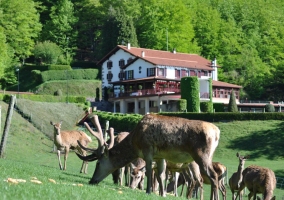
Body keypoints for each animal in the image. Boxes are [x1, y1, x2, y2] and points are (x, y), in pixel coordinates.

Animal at [76, 113, 221, 199]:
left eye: (98, 163)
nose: (92, 181)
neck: (135, 142)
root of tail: (217, 132)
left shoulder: (147, 150)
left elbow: (149, 172)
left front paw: (148, 191)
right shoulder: (160, 156)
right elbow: (161, 175)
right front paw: (163, 194)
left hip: (201, 155)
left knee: (213, 176)